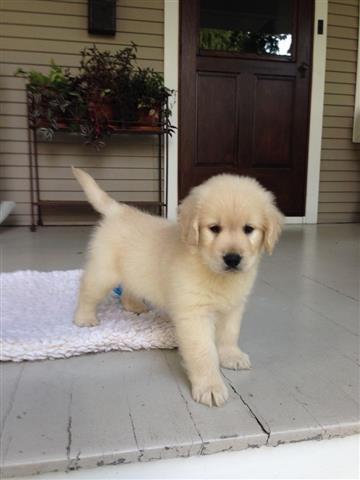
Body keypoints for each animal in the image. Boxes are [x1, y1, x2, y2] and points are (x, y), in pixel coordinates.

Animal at [71, 167, 282, 406]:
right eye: (214, 228)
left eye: (249, 229)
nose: (232, 259)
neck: (209, 268)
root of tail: (119, 210)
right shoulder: (194, 314)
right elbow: (203, 352)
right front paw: (210, 386)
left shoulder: (233, 307)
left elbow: (229, 334)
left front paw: (231, 356)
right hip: (103, 273)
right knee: (87, 291)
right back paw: (84, 318)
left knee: (128, 289)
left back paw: (134, 306)